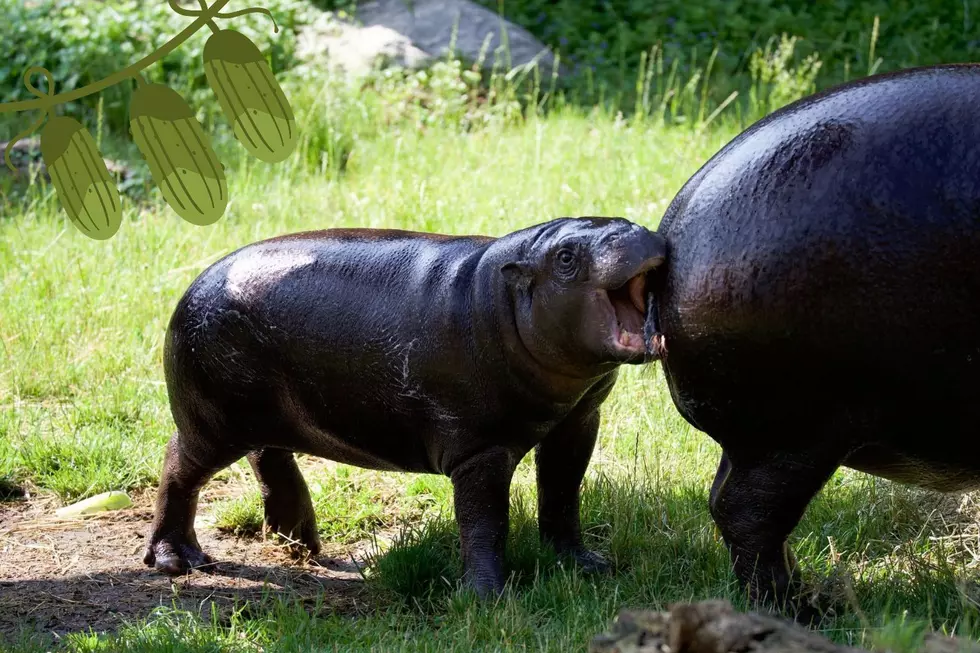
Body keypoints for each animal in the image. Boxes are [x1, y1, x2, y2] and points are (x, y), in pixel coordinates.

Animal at [144, 216, 667, 597]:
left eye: (623, 217)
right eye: (565, 257)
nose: (638, 233)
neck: (498, 296)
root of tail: (194, 283)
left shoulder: (577, 421)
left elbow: (562, 494)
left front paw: (585, 565)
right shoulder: (480, 450)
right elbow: (486, 522)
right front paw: (489, 598)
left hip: (264, 413)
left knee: (269, 455)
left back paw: (302, 541)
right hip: (212, 424)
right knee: (179, 466)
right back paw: (179, 561)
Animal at [646, 63, 980, 621]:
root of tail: (673, 232)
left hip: (760, 435)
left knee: (729, 503)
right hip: (796, 430)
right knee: (747, 513)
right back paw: (807, 609)